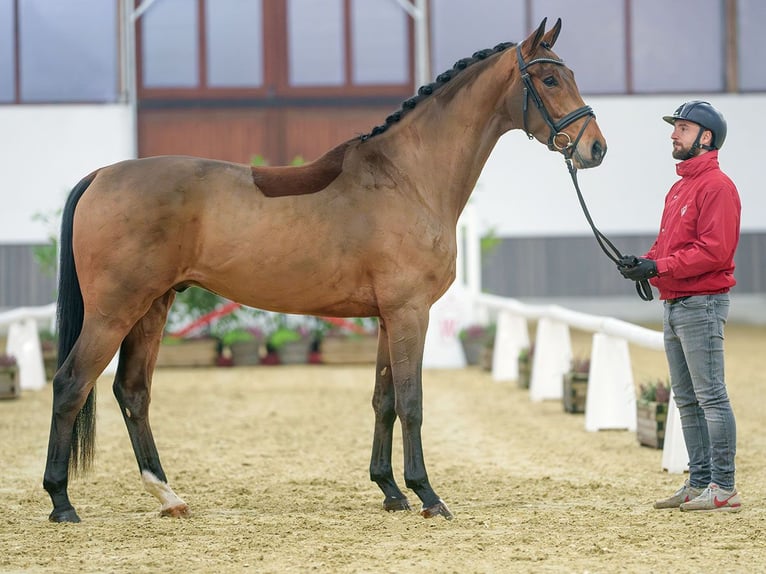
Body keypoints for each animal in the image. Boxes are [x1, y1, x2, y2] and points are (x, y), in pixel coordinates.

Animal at [43, 18, 608, 524]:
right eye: (550, 79)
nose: (595, 147)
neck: (407, 178)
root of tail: (101, 176)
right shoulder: (410, 313)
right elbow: (412, 402)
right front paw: (427, 495)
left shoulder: (387, 318)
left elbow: (384, 400)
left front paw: (390, 491)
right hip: (115, 311)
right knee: (71, 384)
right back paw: (62, 502)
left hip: (152, 308)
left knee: (132, 391)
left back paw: (168, 496)